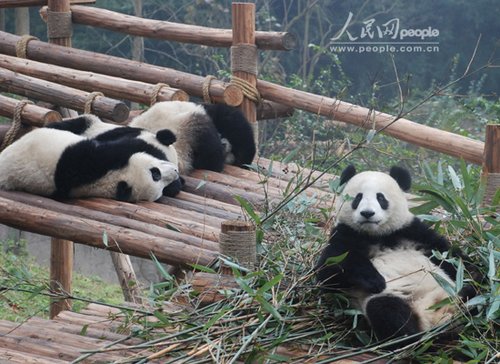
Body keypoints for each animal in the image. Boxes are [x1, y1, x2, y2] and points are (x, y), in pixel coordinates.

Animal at [316, 165, 476, 346]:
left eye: (380, 198)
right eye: (358, 198)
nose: (367, 213)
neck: (377, 235)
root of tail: (439, 315)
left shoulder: (412, 231)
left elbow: (448, 255)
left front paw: (476, 275)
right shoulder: (345, 235)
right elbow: (328, 272)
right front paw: (375, 280)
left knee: (470, 295)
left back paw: (468, 296)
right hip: (398, 299)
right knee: (386, 311)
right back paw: (415, 338)